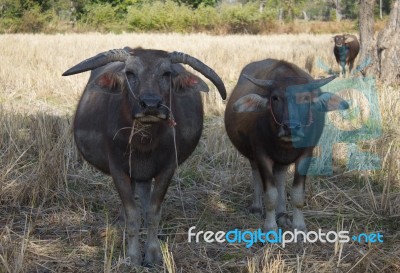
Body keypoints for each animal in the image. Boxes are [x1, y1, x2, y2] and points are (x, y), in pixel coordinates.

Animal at [62, 47, 225, 266]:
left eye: (166, 73)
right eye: (130, 73)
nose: (151, 104)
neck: (143, 143)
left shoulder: (167, 169)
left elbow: (153, 211)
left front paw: (153, 253)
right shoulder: (118, 170)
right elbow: (133, 214)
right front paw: (132, 256)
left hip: (145, 174)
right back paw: (120, 222)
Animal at [223, 59, 348, 232]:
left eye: (306, 98)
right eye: (275, 98)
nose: (291, 127)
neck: (285, 144)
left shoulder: (306, 155)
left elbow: (297, 194)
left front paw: (299, 225)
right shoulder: (261, 155)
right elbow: (270, 194)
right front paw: (270, 226)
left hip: (281, 162)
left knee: (281, 178)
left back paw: (282, 215)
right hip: (252, 156)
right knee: (256, 175)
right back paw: (257, 208)